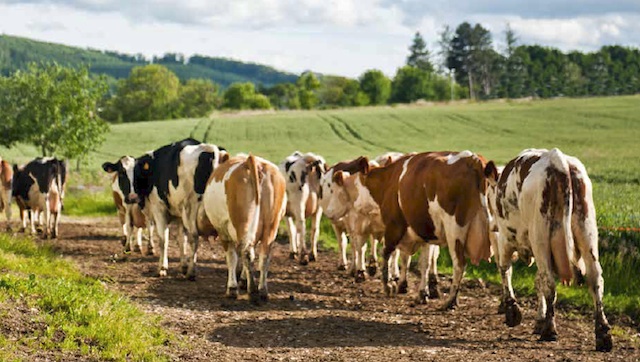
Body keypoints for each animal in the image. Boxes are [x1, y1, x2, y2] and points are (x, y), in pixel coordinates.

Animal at [130, 139, 225, 280]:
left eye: (135, 174)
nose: (130, 197)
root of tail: (210, 149)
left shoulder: (159, 209)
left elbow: (163, 238)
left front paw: (162, 268)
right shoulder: (180, 216)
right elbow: (181, 239)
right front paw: (183, 266)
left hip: (190, 208)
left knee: (194, 237)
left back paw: (192, 272)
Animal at [202, 154, 288, 302]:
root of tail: (253, 161)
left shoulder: (223, 230)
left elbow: (231, 257)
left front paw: (232, 288)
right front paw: (242, 280)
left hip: (243, 223)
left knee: (246, 253)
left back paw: (252, 290)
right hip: (271, 225)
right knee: (264, 256)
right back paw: (262, 290)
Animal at [356, 151, 496, 306]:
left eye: (359, 183)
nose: (356, 206)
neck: (389, 180)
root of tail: (473, 159)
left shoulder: (394, 224)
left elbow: (387, 253)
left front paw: (388, 286)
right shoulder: (425, 232)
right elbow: (422, 262)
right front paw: (420, 292)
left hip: (454, 230)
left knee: (459, 264)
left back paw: (450, 302)